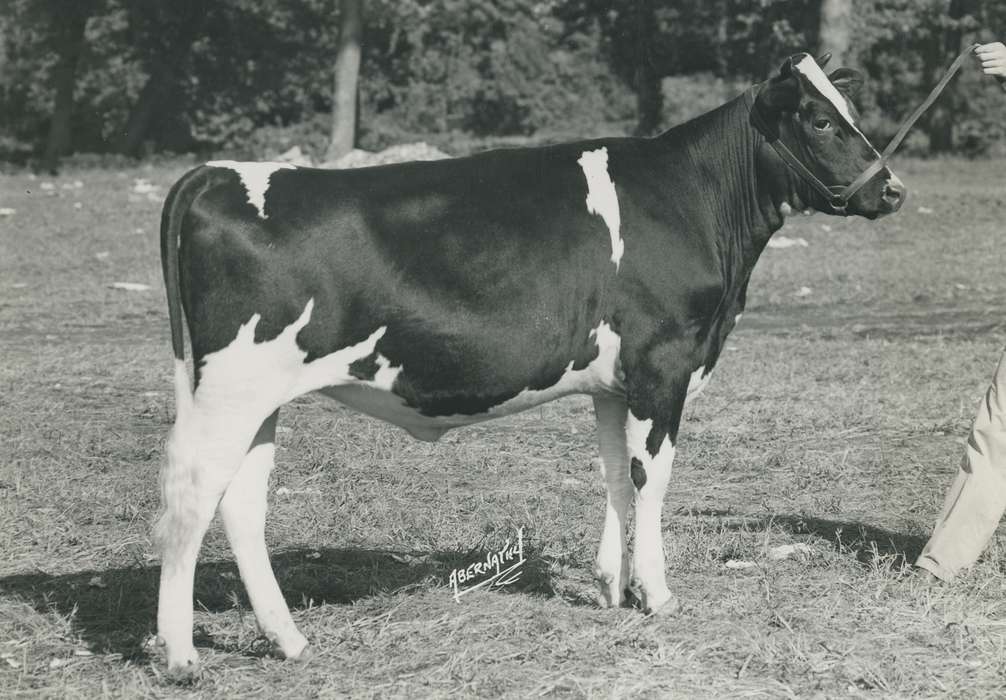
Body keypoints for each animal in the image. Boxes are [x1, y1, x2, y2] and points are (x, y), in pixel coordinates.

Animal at [153, 53, 905, 678]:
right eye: (818, 119)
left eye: (849, 110)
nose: (893, 191)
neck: (693, 201)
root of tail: (219, 173)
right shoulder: (663, 367)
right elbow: (652, 480)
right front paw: (656, 594)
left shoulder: (614, 382)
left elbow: (615, 476)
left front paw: (609, 588)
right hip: (232, 387)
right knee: (192, 494)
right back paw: (182, 655)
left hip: (256, 398)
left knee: (241, 503)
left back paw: (288, 640)